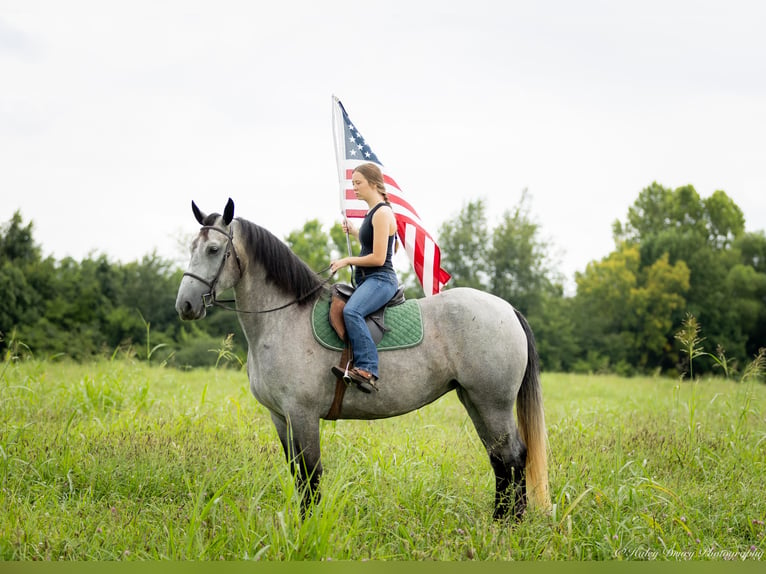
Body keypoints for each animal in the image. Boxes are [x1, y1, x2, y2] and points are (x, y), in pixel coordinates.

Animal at [176, 199, 552, 520]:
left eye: (213, 250)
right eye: (191, 248)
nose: (185, 305)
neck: (284, 318)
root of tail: (507, 309)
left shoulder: (302, 413)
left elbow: (310, 474)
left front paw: (308, 529)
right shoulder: (279, 416)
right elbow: (297, 473)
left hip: (493, 403)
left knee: (513, 457)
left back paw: (510, 525)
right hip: (474, 401)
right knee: (500, 459)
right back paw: (499, 522)